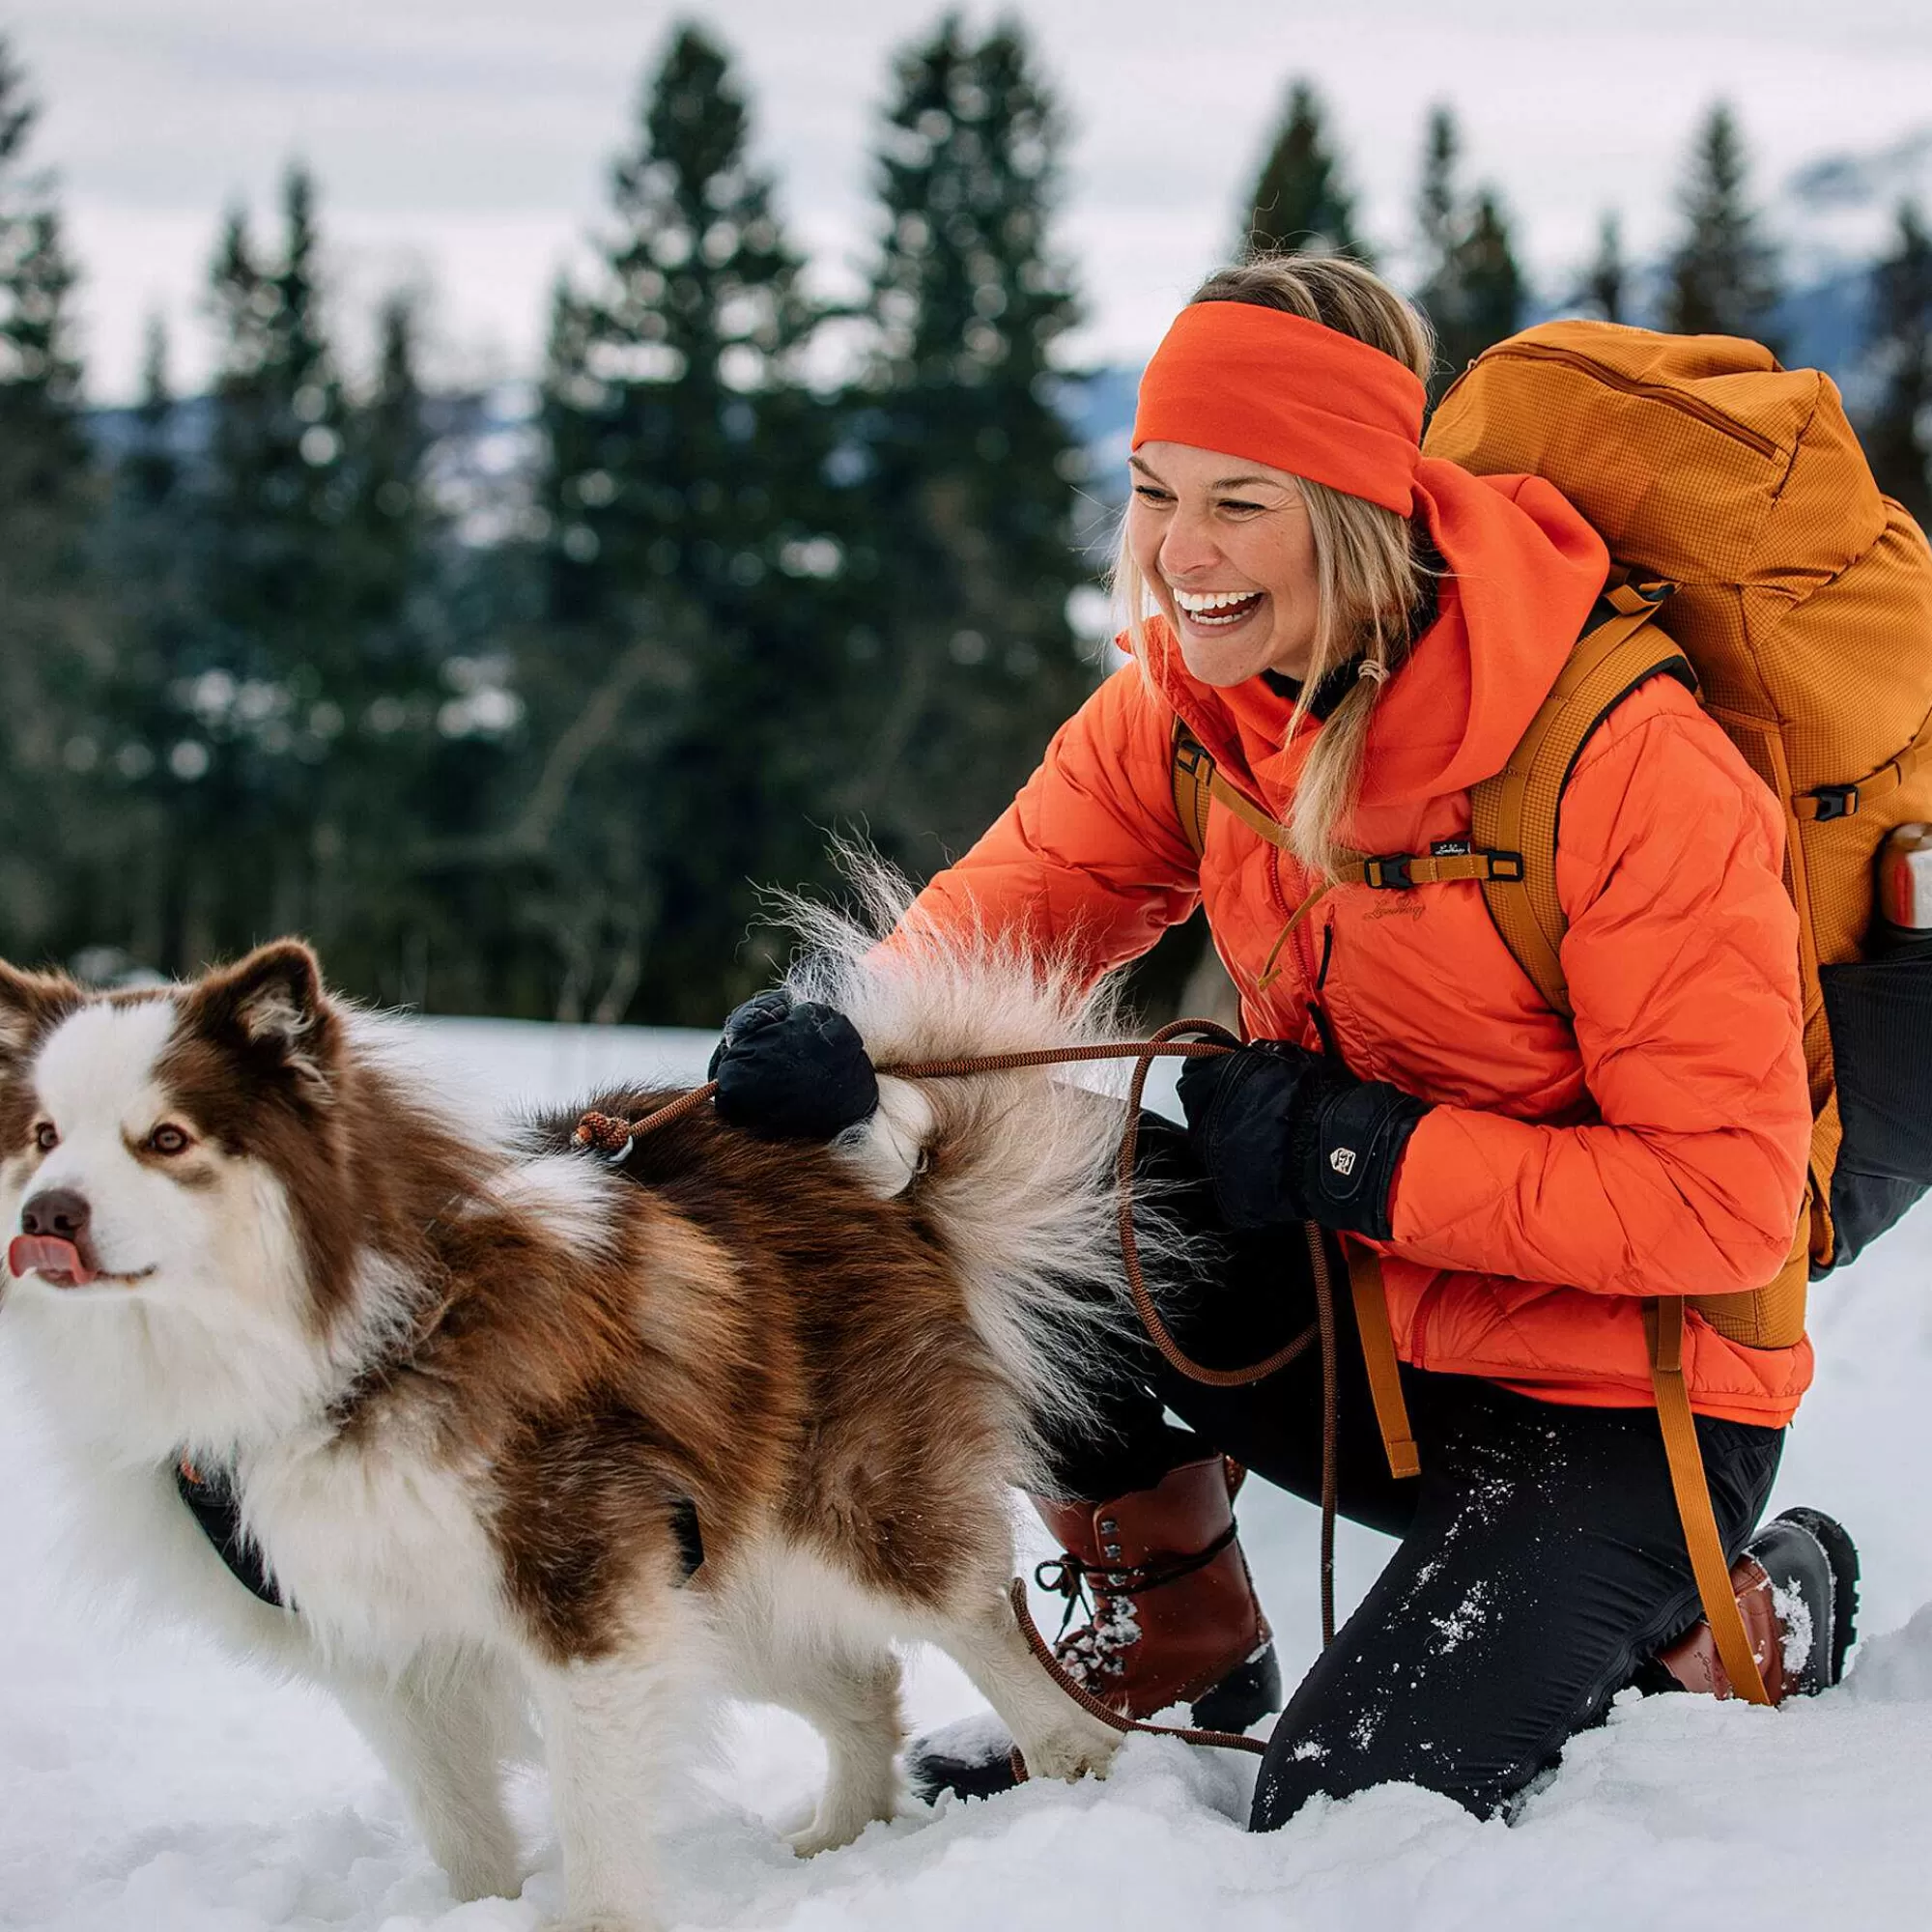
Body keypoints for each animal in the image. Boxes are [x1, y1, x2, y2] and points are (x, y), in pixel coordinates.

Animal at [0, 889, 1144, 1932]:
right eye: (44, 1134)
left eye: (166, 1137)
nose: (45, 1217)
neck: (363, 1347)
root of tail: (871, 1174)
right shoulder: (383, 1639)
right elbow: (458, 1823)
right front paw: (476, 1911)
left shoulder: (582, 1580)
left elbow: (592, 1806)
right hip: (722, 1565)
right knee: (861, 1680)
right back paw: (838, 1835)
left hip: (850, 1508)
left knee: (980, 1624)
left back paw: (1075, 1772)